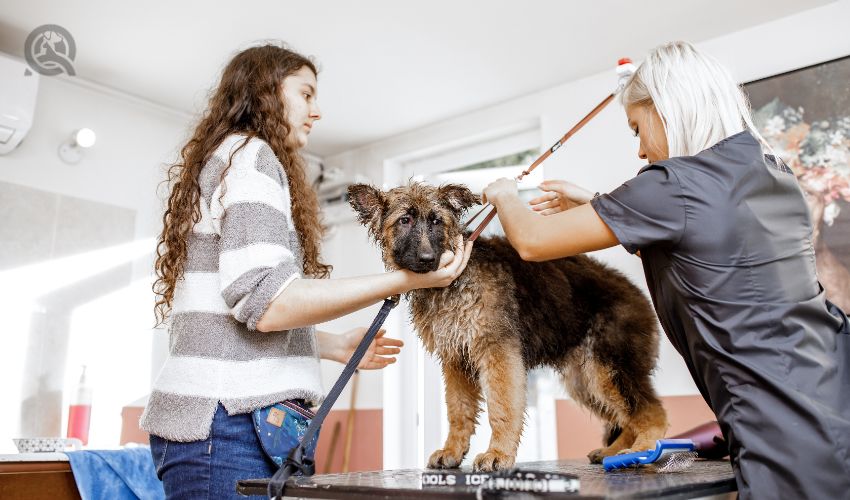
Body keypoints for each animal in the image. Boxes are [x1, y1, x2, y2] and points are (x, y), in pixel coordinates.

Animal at [348, 182, 664, 470]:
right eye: (405, 220)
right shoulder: (456, 359)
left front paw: (498, 453)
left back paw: (643, 450)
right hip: (585, 380)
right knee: (628, 416)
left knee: (652, 411)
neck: (457, 278)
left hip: (608, 369)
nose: (428, 260)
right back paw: (616, 451)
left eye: (437, 221)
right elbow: (458, 410)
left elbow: (502, 407)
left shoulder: (497, 351)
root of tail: (636, 291)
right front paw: (453, 450)